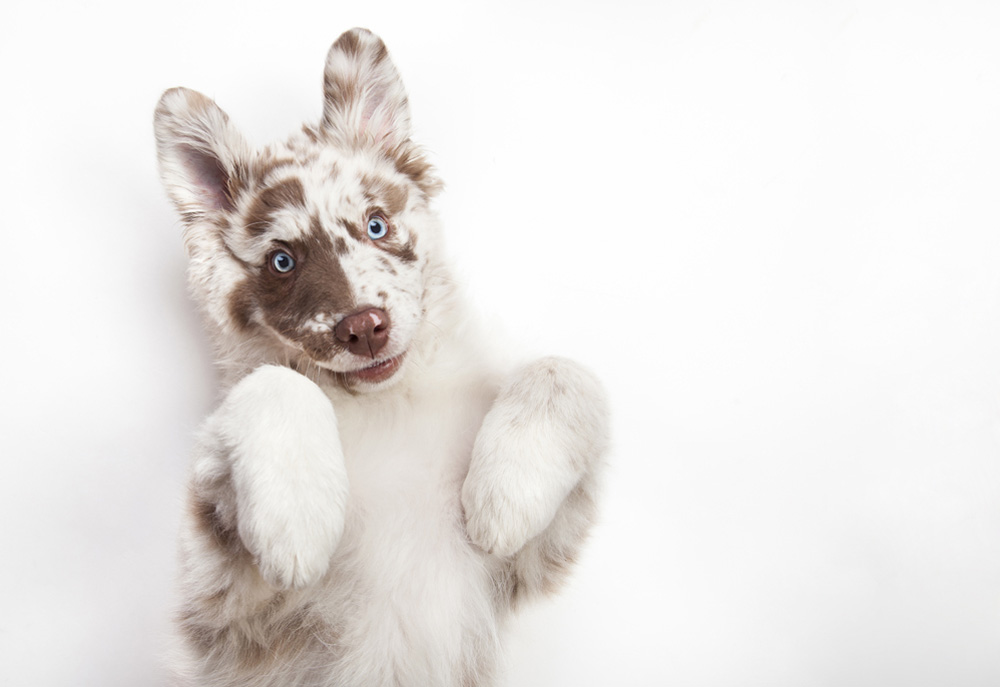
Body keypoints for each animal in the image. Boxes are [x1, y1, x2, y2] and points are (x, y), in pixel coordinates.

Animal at [155, 28, 608, 687]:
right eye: (282, 262)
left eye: (375, 225)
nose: (364, 327)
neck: (389, 404)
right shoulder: (229, 599)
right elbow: (275, 384)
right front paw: (298, 517)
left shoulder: (535, 562)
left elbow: (567, 370)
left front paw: (503, 498)